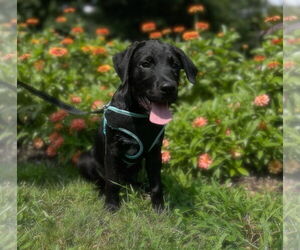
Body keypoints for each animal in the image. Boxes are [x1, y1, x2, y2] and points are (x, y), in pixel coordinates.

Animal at [78, 39, 198, 211]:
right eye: (145, 64)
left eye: (175, 65)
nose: (169, 87)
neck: (141, 116)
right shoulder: (112, 150)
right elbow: (111, 181)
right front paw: (111, 206)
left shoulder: (155, 153)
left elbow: (156, 184)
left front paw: (159, 208)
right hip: (85, 160)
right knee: (103, 180)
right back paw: (102, 191)